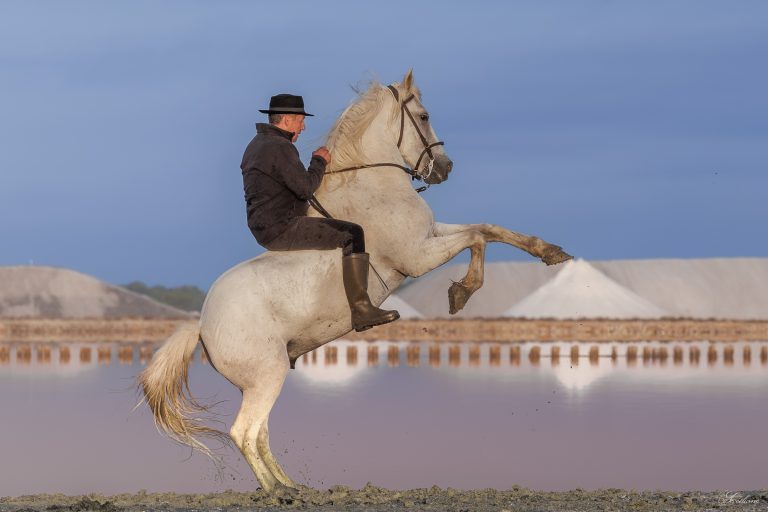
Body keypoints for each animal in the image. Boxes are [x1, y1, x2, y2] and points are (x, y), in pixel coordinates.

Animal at [138, 70, 572, 493]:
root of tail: (201, 324)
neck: (373, 184)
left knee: (260, 433)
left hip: (261, 382)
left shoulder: (430, 235)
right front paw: (460, 293)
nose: (446, 167)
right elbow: (478, 239)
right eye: (425, 116)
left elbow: (488, 229)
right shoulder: (419, 256)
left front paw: (550, 252)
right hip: (267, 375)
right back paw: (277, 492)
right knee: (244, 432)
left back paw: (291, 484)